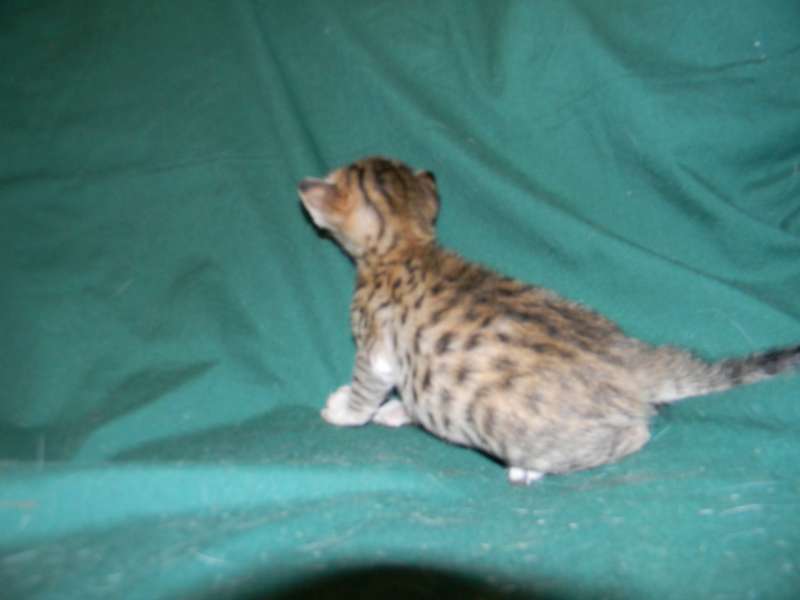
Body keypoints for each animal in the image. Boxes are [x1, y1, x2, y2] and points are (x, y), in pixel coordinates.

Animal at [297, 156, 800, 485]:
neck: (405, 246)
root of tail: (629, 359)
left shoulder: (376, 349)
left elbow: (368, 386)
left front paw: (349, 411)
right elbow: (411, 392)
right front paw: (400, 409)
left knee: (631, 435)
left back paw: (531, 467)